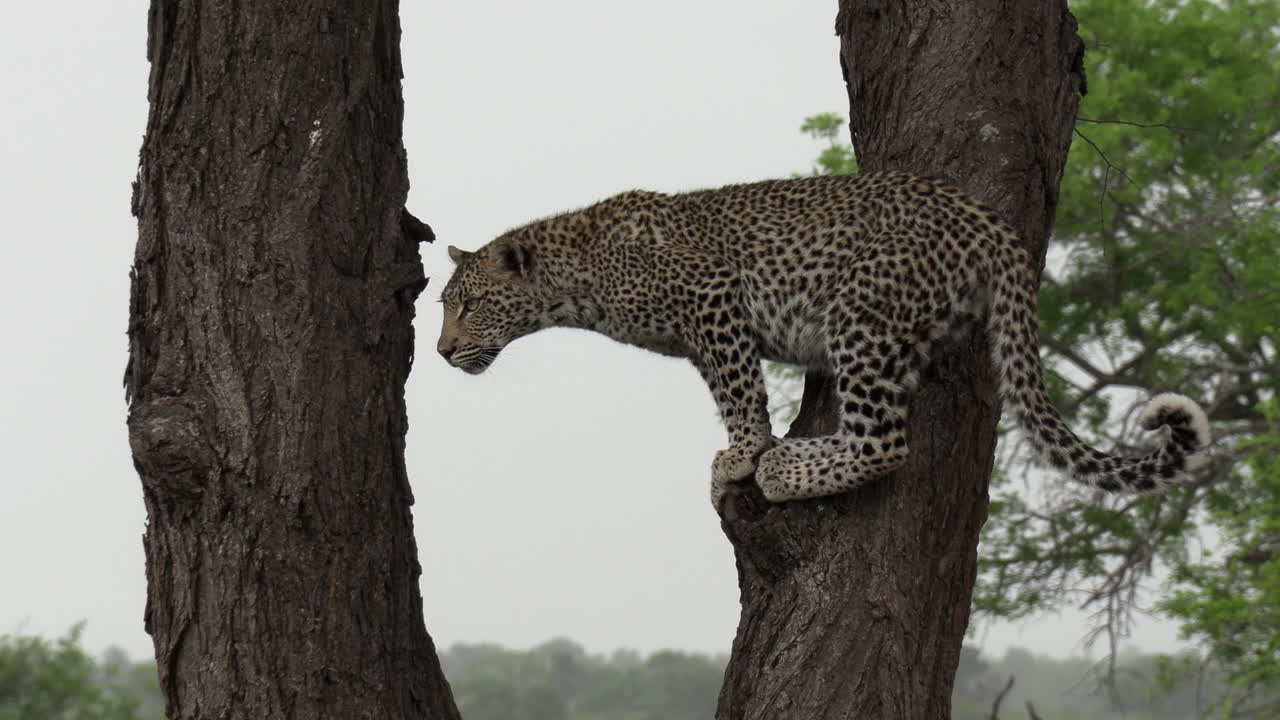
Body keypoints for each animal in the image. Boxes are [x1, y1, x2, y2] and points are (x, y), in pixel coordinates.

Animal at [436, 171, 1211, 509]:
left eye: (468, 306)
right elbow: (730, 386)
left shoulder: (713, 297)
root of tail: (989, 224)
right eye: (448, 308)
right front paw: (743, 449)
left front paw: (745, 453)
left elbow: (740, 390)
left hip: (861, 312)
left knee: (885, 442)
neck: (575, 281)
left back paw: (788, 467)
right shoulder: (702, 333)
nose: (442, 352)